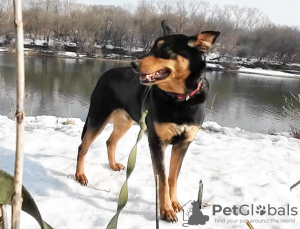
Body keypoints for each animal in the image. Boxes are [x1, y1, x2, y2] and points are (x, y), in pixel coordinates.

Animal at [75, 21, 220, 222]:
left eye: (165, 49)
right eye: (151, 48)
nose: (133, 64)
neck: (179, 100)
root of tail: (106, 73)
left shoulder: (183, 144)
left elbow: (173, 178)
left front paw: (175, 203)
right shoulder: (157, 142)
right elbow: (163, 179)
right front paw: (166, 211)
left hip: (125, 122)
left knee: (110, 142)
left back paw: (113, 165)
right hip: (98, 117)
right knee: (83, 147)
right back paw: (80, 175)